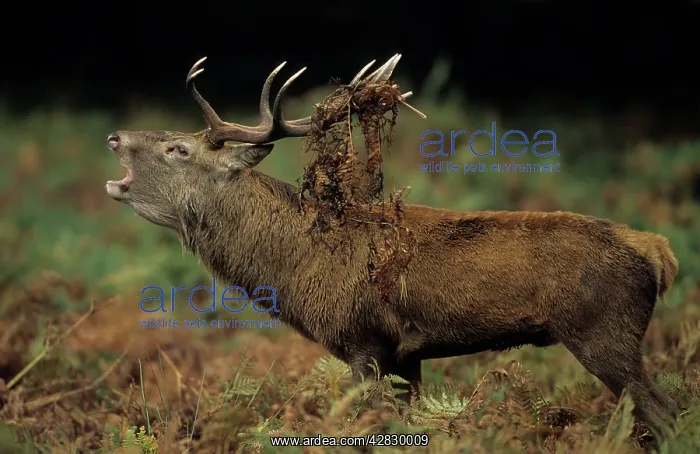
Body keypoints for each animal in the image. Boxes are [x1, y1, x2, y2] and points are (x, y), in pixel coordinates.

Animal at [105, 54, 679, 439]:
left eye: (177, 148)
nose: (115, 137)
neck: (291, 271)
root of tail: (659, 252)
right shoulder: (407, 354)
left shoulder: (363, 339)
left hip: (605, 331)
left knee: (666, 413)